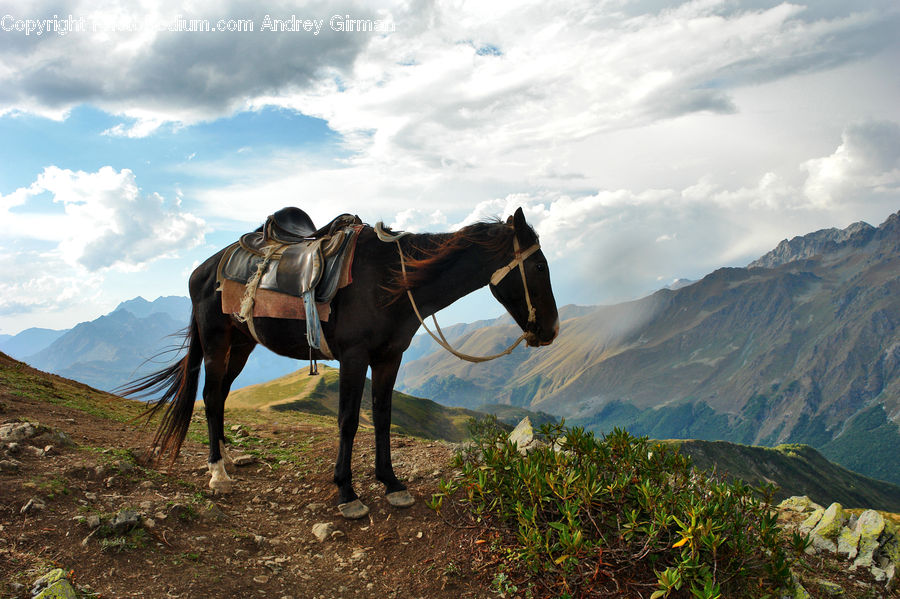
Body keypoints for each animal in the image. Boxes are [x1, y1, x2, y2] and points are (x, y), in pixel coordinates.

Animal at [125, 206, 564, 520]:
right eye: (539, 266)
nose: (551, 330)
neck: (389, 280)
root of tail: (202, 270)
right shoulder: (354, 357)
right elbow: (349, 421)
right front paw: (346, 491)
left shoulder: (389, 356)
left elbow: (383, 416)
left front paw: (392, 484)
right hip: (217, 341)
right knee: (212, 393)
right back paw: (218, 472)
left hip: (243, 344)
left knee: (219, 397)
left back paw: (227, 458)